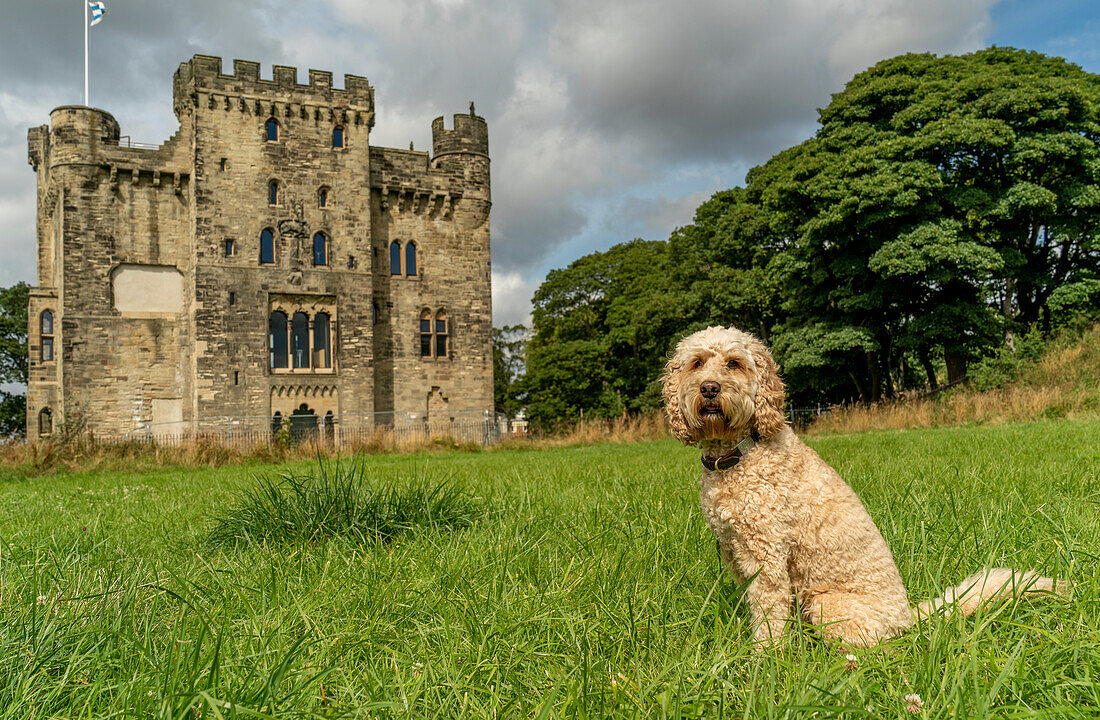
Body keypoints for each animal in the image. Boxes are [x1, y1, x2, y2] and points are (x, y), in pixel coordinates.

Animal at [660, 323, 1064, 650]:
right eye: (696, 363)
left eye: (734, 363)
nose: (709, 388)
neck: (738, 454)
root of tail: (907, 616)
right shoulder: (735, 553)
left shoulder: (768, 558)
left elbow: (770, 619)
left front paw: (763, 661)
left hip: (826, 604)